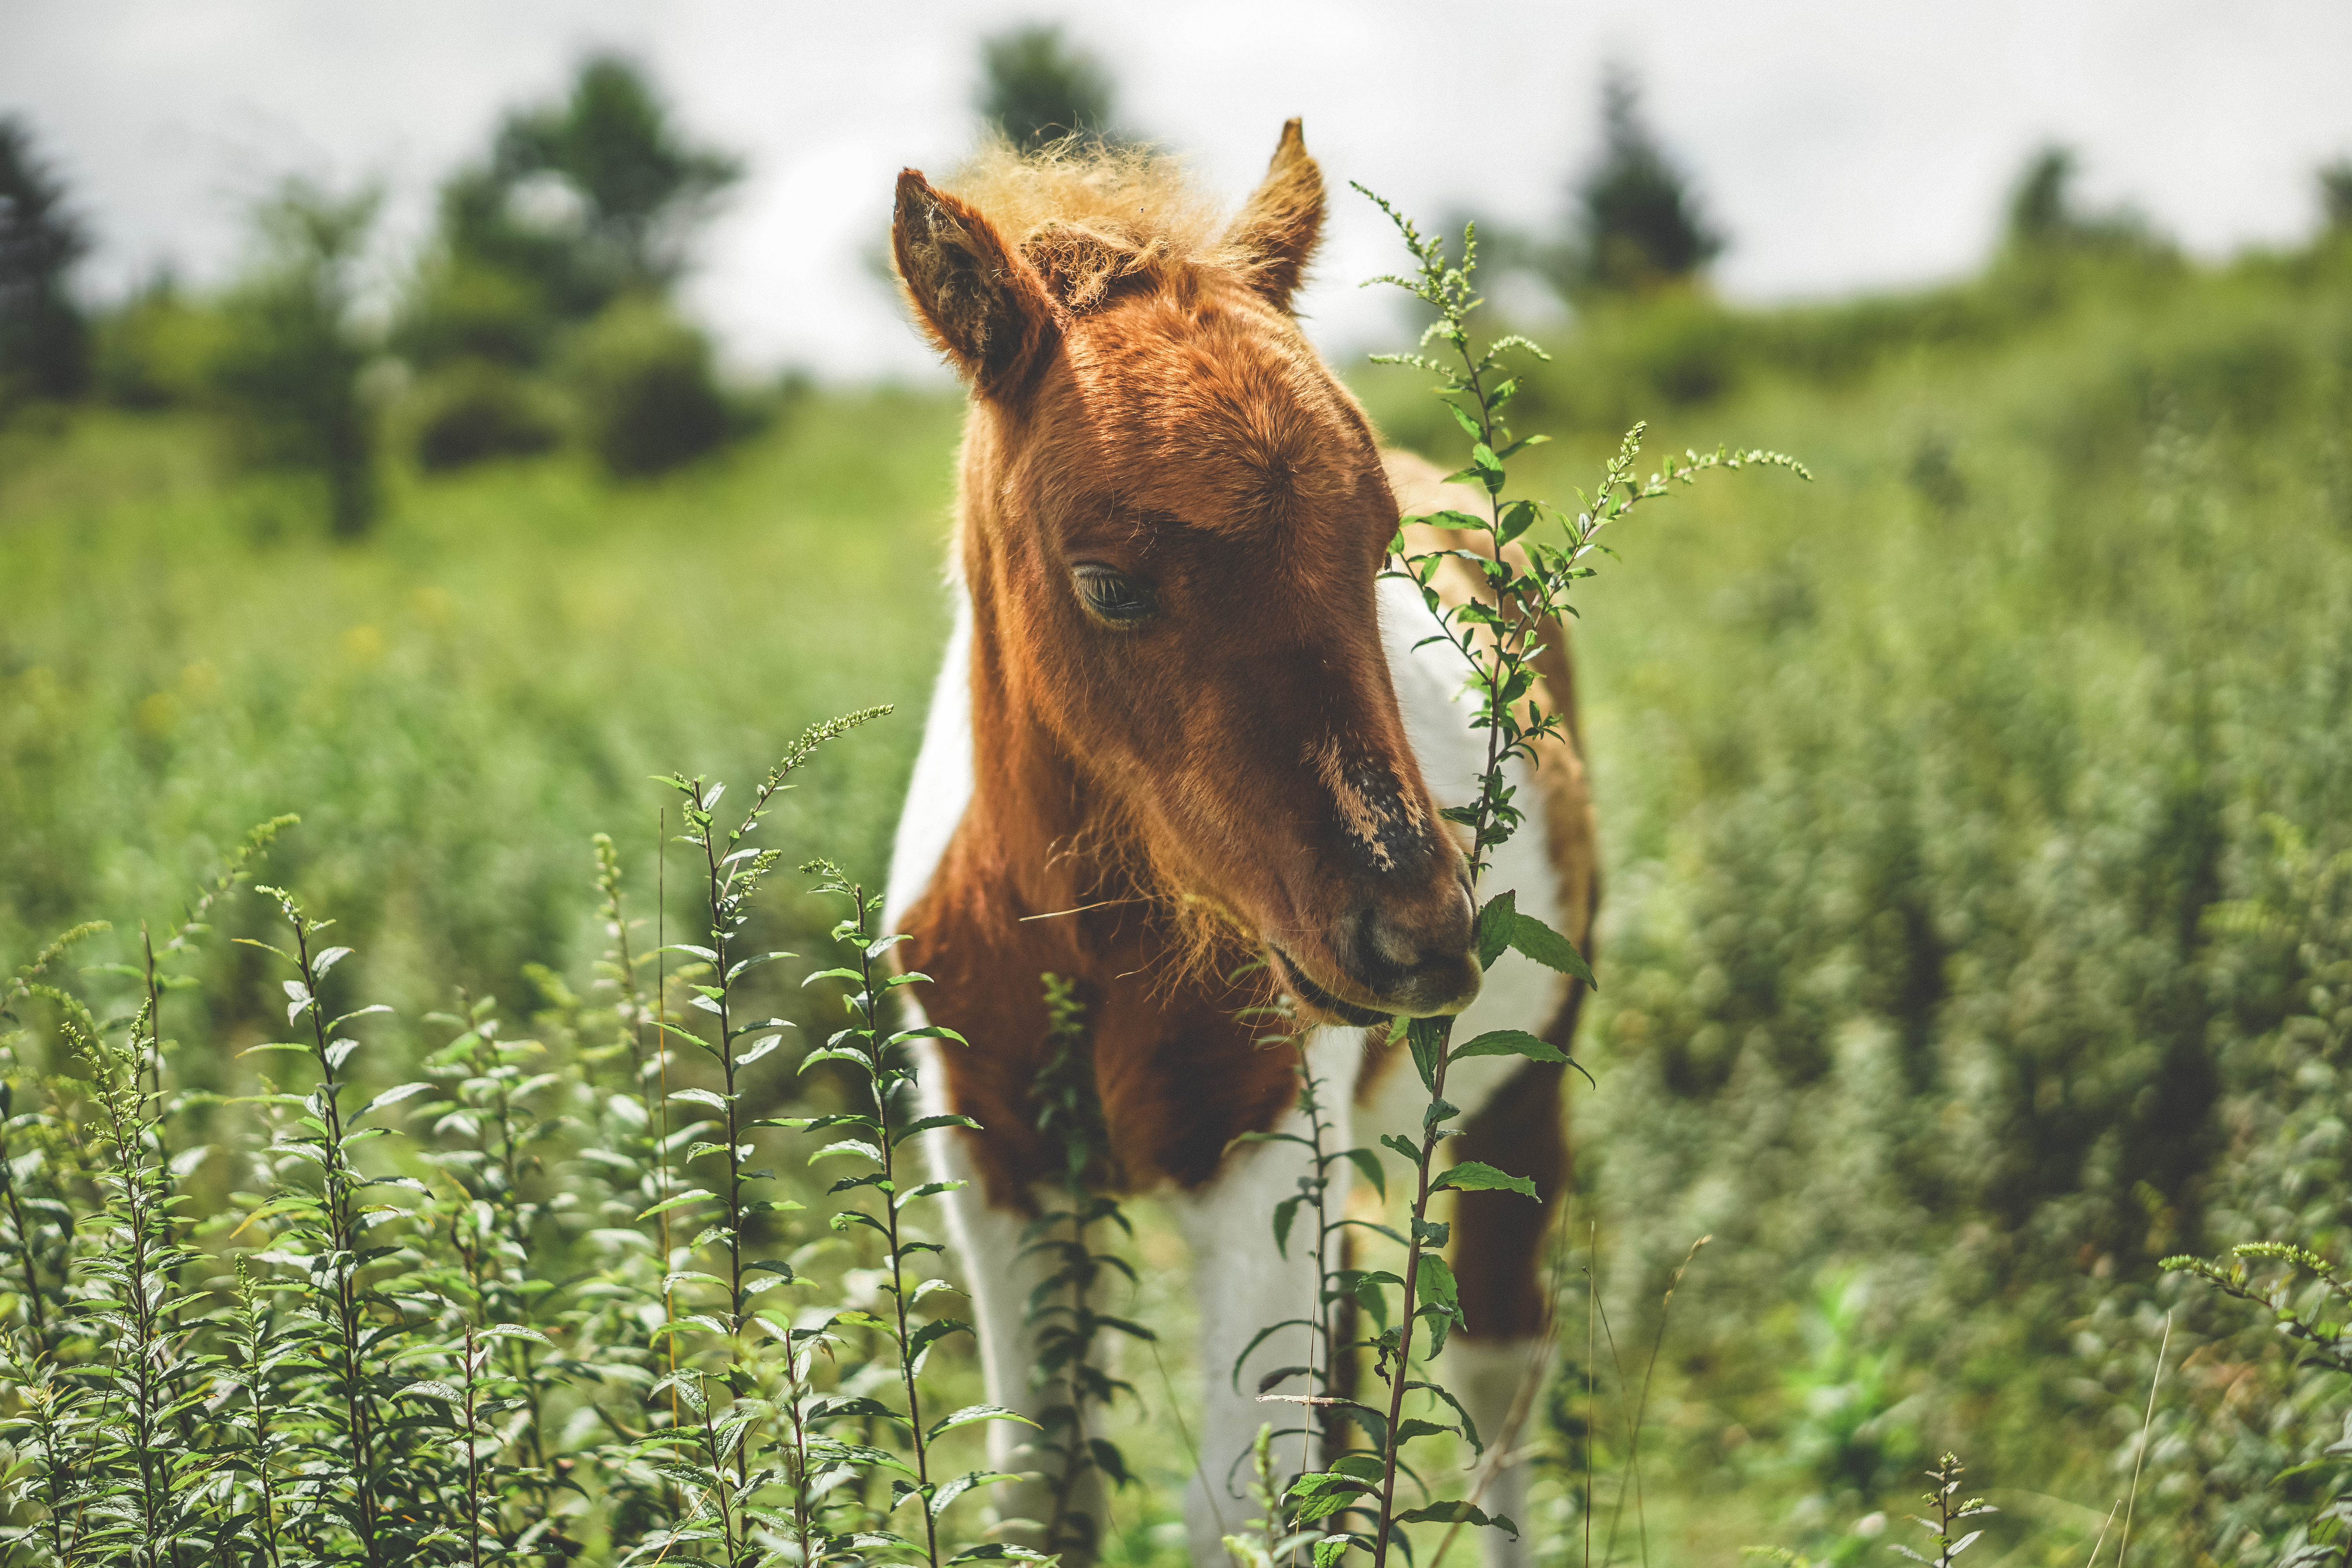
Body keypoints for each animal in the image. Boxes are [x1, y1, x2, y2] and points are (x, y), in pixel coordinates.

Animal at [881, 123, 1599, 1568]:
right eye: (1109, 585)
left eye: (1378, 549)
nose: (1421, 939)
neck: (1085, 936)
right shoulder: (995, 1167)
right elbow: (1042, 1496)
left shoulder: (1262, 1153)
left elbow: (1238, 1513)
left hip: (1521, 1086)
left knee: (1497, 1375)